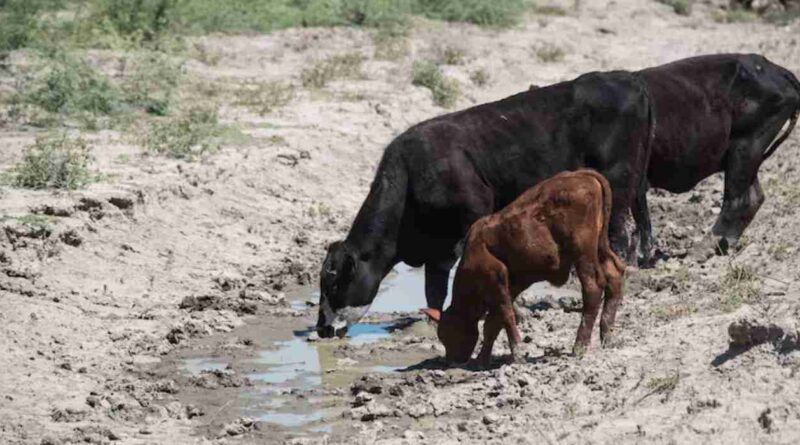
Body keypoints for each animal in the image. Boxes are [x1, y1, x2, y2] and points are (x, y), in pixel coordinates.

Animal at [316, 72, 652, 336]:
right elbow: (434, 287)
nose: (321, 328)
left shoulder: (472, 216)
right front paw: (431, 320)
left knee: (622, 232)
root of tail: (627, 79)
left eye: (333, 283)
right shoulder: (437, 247)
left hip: (617, 181)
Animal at [424, 169, 624, 364]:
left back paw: (579, 346)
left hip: (583, 253)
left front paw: (518, 354)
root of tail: (582, 175)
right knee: (614, 274)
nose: (451, 361)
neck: (474, 249)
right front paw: (482, 358)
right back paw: (608, 337)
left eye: (446, 334)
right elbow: (492, 323)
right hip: (600, 247)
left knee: (592, 286)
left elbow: (505, 316)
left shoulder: (495, 279)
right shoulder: (511, 285)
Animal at [636, 53, 796, 260]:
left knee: (738, 202)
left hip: (745, 148)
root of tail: (775, 69)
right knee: (753, 197)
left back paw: (702, 248)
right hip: (744, 156)